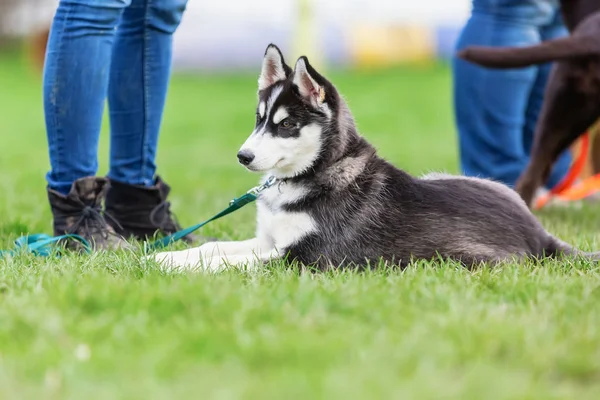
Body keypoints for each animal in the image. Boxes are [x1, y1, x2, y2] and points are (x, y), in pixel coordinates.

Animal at [151, 43, 600, 272]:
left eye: (286, 125)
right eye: (259, 120)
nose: (243, 156)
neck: (312, 174)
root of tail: (538, 233)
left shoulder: (305, 257)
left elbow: (232, 262)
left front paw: (170, 265)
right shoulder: (269, 239)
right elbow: (215, 248)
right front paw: (165, 255)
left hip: (454, 259)